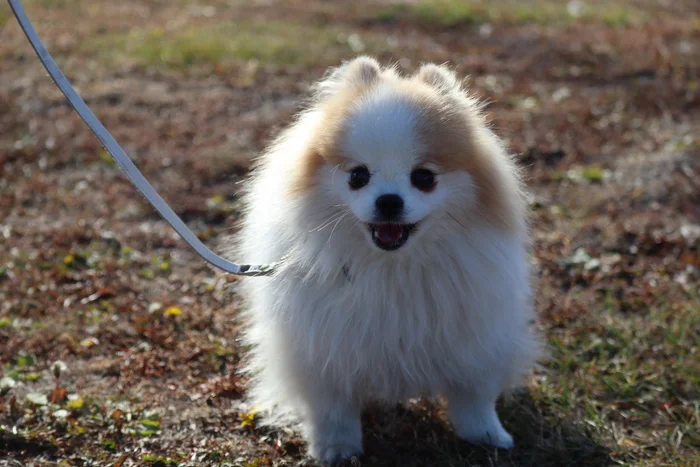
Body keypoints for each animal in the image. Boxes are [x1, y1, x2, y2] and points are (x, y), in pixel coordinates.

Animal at [232, 56, 540, 462]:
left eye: (424, 177)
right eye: (358, 176)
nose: (389, 201)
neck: (391, 268)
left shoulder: (473, 338)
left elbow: (474, 398)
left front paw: (486, 435)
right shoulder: (322, 351)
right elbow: (333, 410)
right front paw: (336, 448)